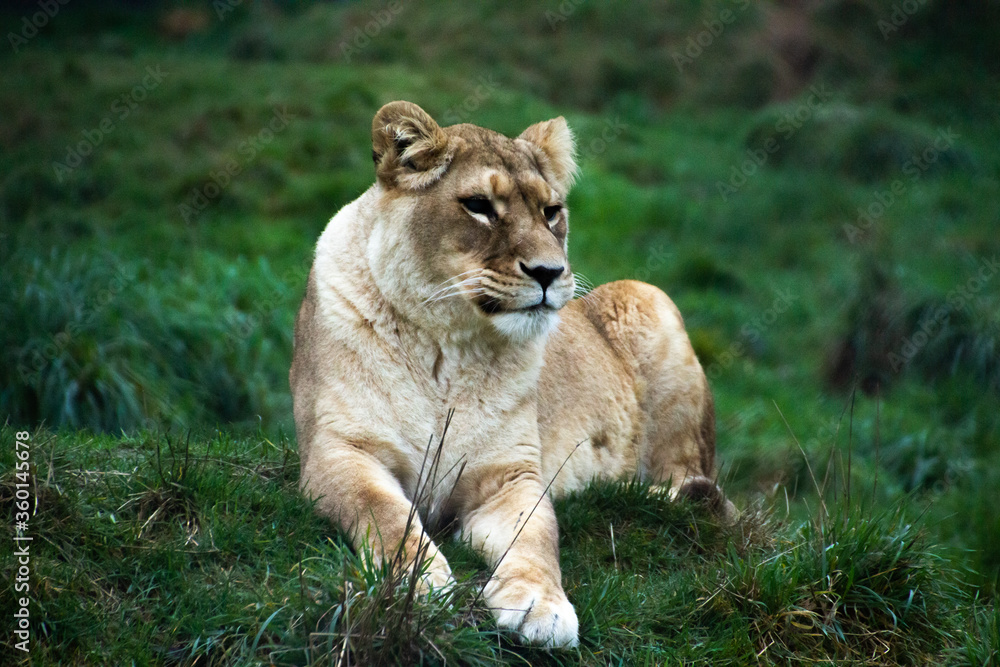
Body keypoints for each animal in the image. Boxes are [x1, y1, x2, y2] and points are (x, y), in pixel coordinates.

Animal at [289, 101, 733, 648]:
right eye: (479, 205)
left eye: (551, 211)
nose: (549, 272)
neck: (450, 346)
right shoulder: (337, 452)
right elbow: (382, 512)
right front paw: (421, 581)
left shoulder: (511, 475)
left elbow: (537, 537)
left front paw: (540, 605)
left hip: (649, 298)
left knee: (695, 483)